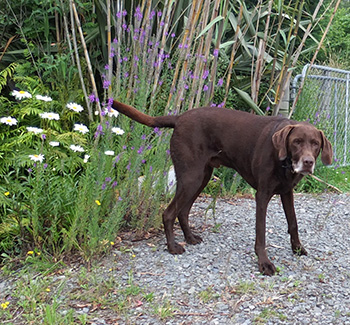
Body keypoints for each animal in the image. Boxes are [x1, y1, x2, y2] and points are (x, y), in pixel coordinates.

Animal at [112, 100, 330, 274]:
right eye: (296, 142)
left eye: (316, 144)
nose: (308, 162)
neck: (284, 162)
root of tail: (180, 117)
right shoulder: (262, 195)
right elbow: (261, 233)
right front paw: (264, 263)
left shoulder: (287, 192)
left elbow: (293, 222)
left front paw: (297, 249)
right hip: (191, 177)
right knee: (169, 212)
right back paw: (173, 247)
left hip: (202, 177)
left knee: (183, 211)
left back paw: (189, 237)